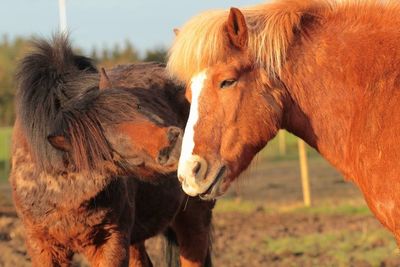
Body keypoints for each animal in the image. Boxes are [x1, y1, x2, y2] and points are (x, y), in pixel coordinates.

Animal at [10, 36, 214, 267]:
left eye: (139, 106)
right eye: (106, 139)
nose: (177, 144)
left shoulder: (112, 243)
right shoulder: (43, 249)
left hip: (194, 218)